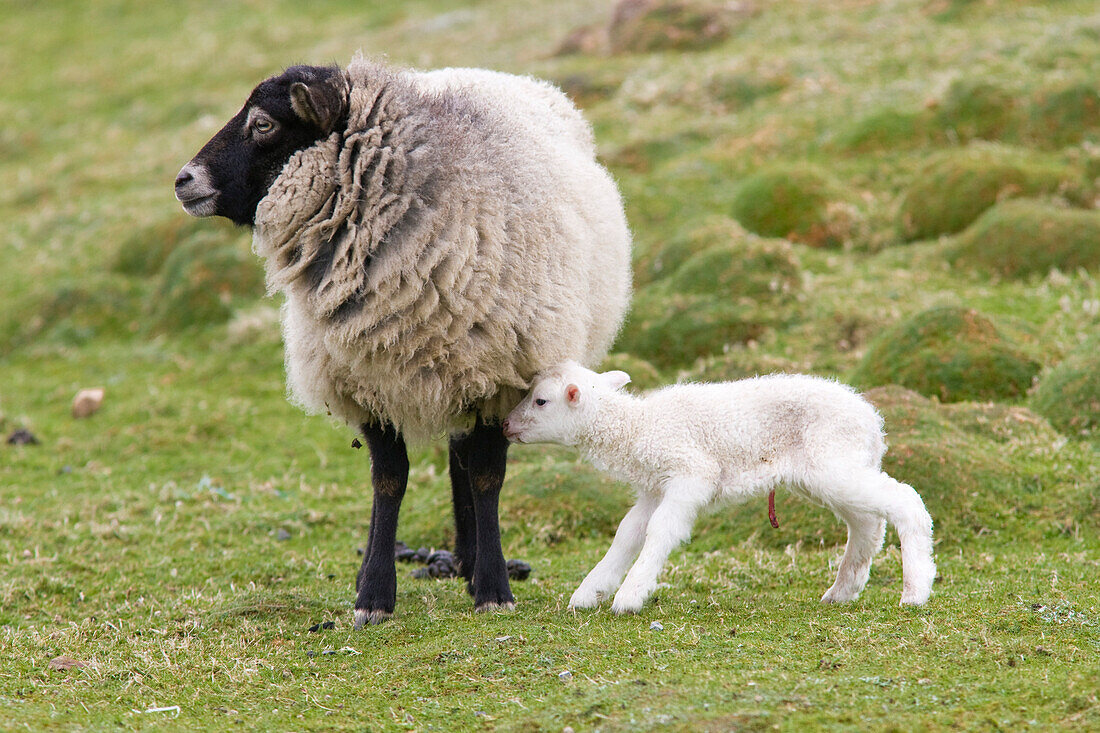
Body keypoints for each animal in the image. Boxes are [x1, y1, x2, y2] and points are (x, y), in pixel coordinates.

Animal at [176, 59, 633, 625]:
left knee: (465, 460)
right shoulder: (365, 383)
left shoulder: (499, 378)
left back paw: (471, 562)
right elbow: (388, 482)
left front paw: (493, 588)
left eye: (263, 124)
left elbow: (486, 478)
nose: (182, 180)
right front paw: (373, 593)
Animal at [503, 363, 937, 611]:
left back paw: (915, 591)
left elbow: (661, 531)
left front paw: (630, 596)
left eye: (540, 401)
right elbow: (627, 534)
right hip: (829, 470)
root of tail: (873, 422)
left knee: (905, 501)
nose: (505, 425)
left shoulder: (690, 474)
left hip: (833, 462)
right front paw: (590, 593)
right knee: (866, 524)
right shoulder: (654, 488)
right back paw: (842, 591)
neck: (637, 428)